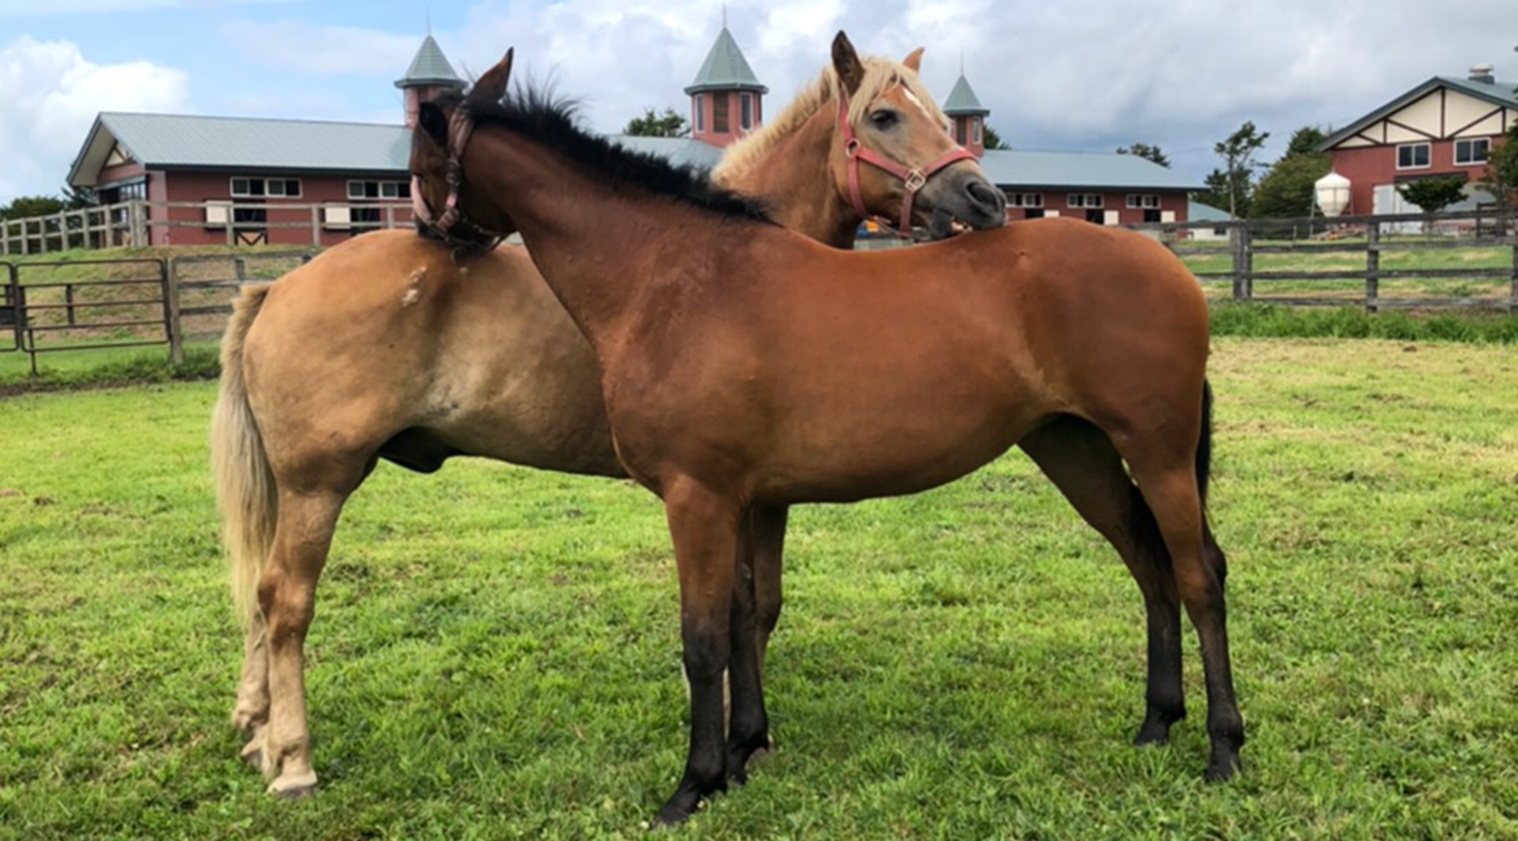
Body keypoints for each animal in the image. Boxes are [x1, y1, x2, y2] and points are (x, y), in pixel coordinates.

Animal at [211, 36, 995, 795]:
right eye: (884, 116)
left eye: (937, 115)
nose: (983, 196)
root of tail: (278, 287)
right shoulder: (739, 494)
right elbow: (739, 614)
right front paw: (726, 737)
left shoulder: (755, 493)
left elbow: (756, 607)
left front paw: (741, 739)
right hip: (320, 483)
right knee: (286, 601)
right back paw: (294, 758)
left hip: (295, 486)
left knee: (261, 595)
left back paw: (257, 726)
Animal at [406, 44, 1244, 819]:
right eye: (887, 115)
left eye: (418, 157)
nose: (424, 237)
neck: (673, 275)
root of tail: (1171, 270)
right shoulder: (742, 498)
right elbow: (744, 617)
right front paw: (742, 751)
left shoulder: (697, 496)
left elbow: (703, 637)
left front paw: (695, 782)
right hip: (1076, 447)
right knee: (1148, 565)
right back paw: (1156, 722)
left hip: (1157, 452)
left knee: (1198, 573)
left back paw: (1223, 746)